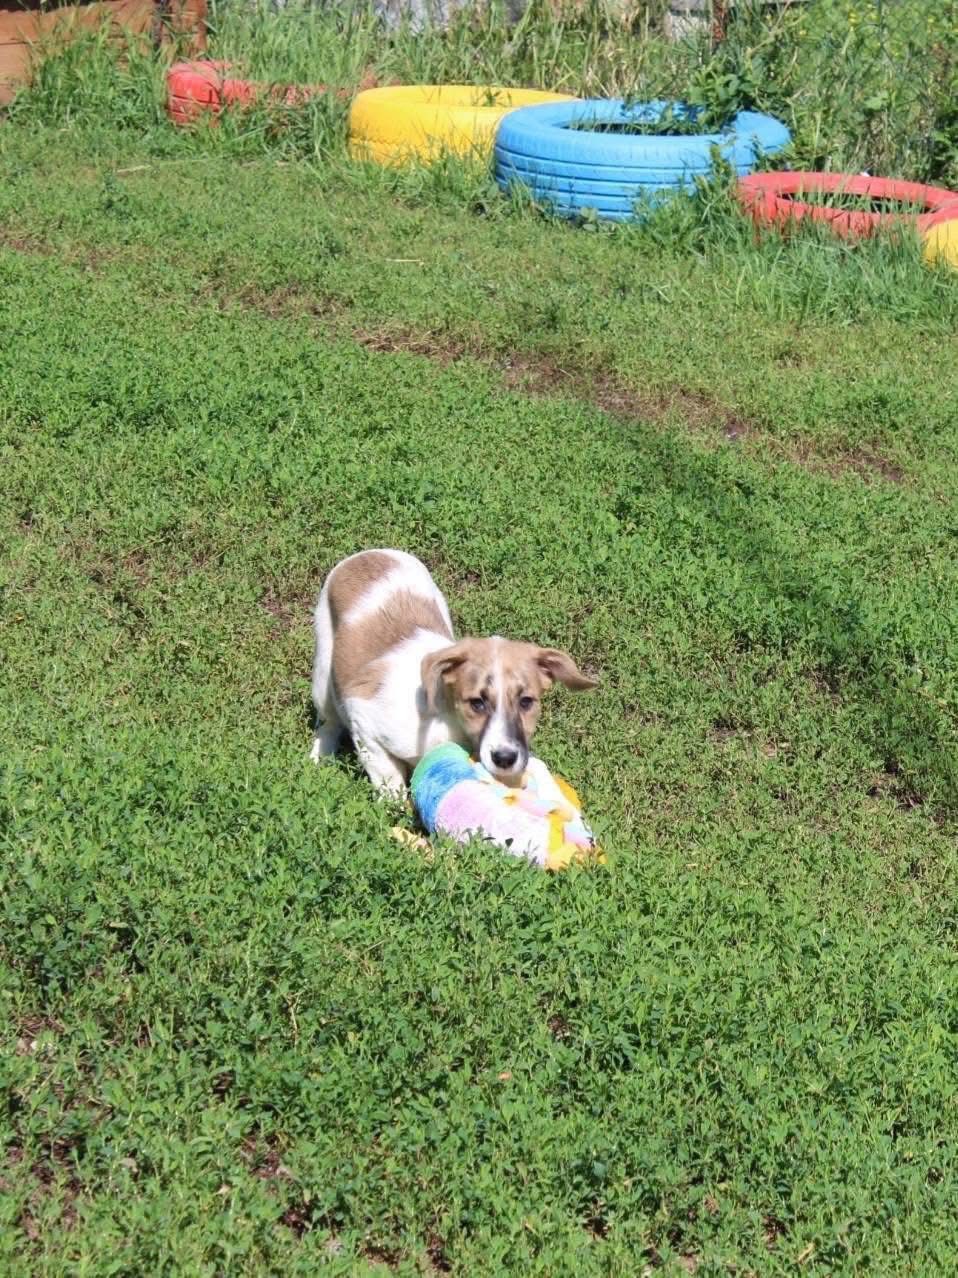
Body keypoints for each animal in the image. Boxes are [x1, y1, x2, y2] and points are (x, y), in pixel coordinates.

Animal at [310, 549, 596, 794]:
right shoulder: (363, 717)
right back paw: (319, 756)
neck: (448, 720)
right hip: (323, 674)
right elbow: (389, 780)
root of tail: (368, 553)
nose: (505, 759)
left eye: (527, 702)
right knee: (329, 721)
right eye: (477, 703)